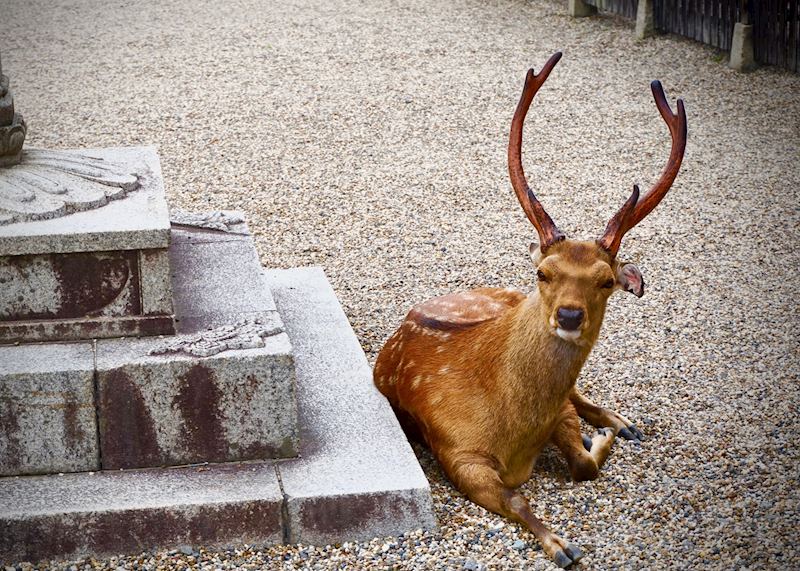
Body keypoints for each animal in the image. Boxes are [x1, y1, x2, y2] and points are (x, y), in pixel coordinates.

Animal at [373, 52, 686, 568]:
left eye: (606, 281)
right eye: (544, 272)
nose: (569, 316)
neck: (516, 428)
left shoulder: (558, 415)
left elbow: (582, 463)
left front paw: (598, 439)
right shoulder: (457, 453)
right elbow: (518, 498)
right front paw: (561, 546)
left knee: (581, 394)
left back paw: (622, 424)